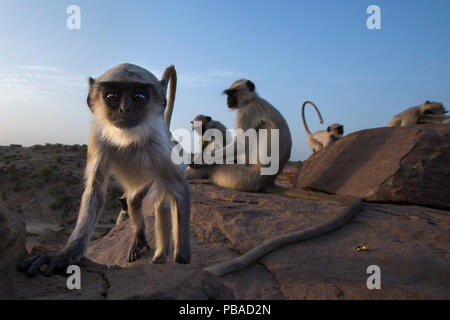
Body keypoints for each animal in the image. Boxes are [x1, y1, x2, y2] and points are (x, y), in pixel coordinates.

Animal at [18, 63, 192, 276]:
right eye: (111, 96)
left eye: (139, 97)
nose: (125, 109)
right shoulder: (98, 137)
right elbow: (95, 190)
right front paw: (64, 257)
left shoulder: (158, 146)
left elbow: (180, 191)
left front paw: (181, 262)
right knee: (135, 201)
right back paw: (140, 235)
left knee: (160, 202)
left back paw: (160, 256)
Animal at [186, 79, 362, 276]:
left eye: (232, 94)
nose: (228, 102)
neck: (253, 99)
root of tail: (268, 181)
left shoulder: (247, 111)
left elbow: (241, 144)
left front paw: (197, 161)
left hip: (240, 177)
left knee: (217, 164)